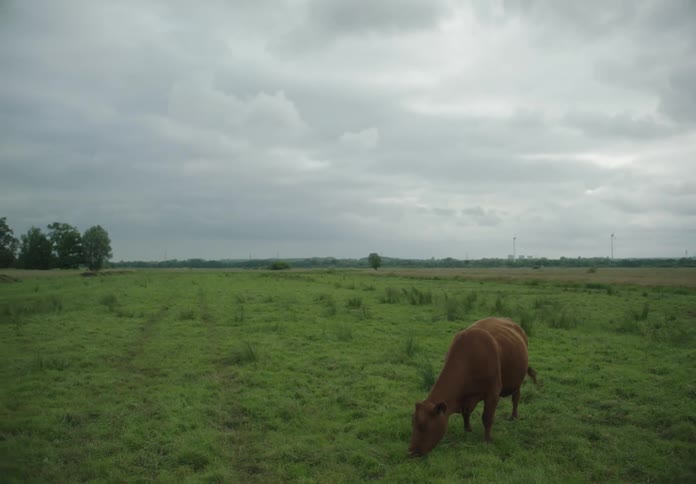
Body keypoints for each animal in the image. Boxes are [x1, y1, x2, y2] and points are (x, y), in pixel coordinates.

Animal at [408, 317, 537, 457]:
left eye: (423, 426)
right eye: (413, 423)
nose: (411, 451)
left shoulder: (493, 393)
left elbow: (487, 418)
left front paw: (487, 440)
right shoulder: (465, 398)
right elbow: (466, 413)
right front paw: (467, 429)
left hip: (518, 380)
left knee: (516, 397)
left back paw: (513, 416)